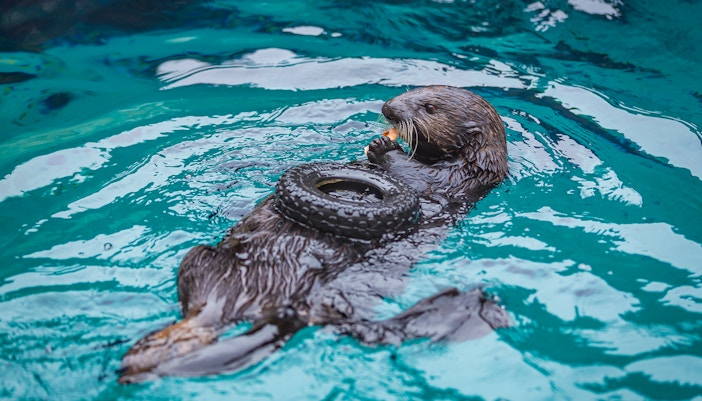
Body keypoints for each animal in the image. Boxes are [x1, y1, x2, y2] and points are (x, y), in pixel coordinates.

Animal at [118, 85, 509, 383]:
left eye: (429, 107)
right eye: (413, 89)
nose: (387, 107)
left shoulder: (451, 181)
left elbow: (414, 174)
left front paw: (383, 147)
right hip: (201, 257)